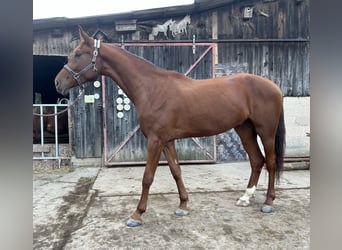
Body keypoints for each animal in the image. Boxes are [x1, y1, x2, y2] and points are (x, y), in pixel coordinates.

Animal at [54, 26, 284, 227]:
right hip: (245, 129)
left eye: (77, 54)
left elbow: (147, 177)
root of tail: (274, 86)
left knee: (271, 162)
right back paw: (245, 197)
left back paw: (268, 202)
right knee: (257, 160)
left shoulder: (155, 141)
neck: (151, 88)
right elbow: (176, 171)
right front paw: (183, 205)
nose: (58, 83)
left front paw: (137, 214)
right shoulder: (167, 140)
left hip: (266, 131)